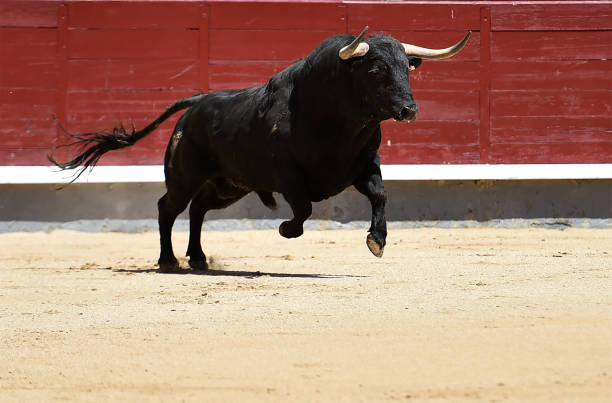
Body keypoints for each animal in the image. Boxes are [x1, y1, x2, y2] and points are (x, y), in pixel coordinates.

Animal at [52, 28, 470, 274]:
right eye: (377, 69)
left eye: (407, 68)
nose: (409, 110)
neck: (332, 115)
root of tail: (197, 103)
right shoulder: (287, 174)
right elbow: (304, 208)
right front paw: (286, 229)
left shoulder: (364, 164)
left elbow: (381, 195)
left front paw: (377, 241)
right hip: (185, 177)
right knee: (167, 208)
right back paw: (169, 261)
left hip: (228, 186)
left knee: (199, 210)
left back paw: (198, 259)